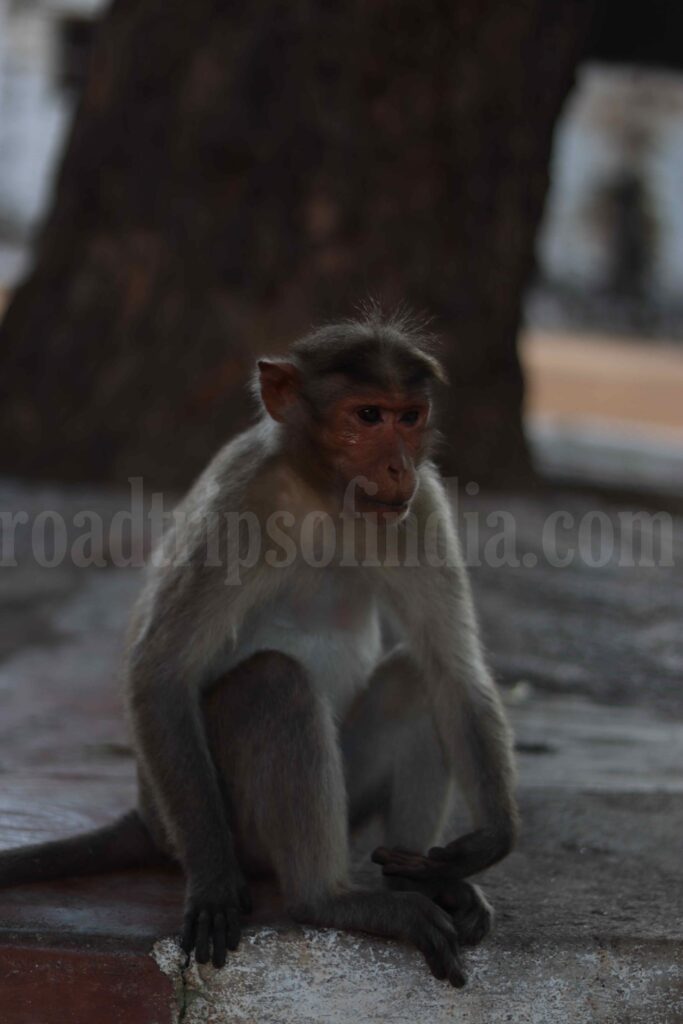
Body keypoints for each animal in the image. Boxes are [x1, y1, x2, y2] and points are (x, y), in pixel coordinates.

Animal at [0, 309, 518, 988]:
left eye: (409, 416)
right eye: (367, 416)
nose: (399, 466)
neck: (325, 497)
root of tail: (149, 820)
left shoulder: (421, 507)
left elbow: (452, 670)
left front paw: (491, 841)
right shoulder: (242, 503)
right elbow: (161, 673)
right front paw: (216, 884)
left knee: (413, 680)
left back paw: (416, 882)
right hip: (232, 821)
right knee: (275, 682)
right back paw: (329, 900)